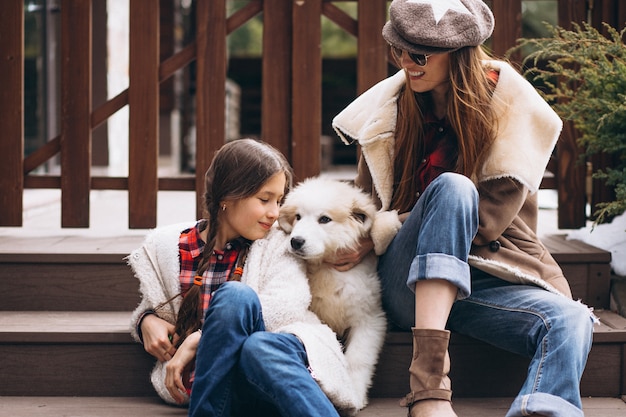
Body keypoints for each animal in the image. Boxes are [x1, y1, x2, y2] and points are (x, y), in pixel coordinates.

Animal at [276, 178, 386, 404]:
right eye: (298, 217)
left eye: (324, 219)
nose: (296, 241)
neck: (326, 267)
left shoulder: (369, 318)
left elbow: (357, 358)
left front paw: (355, 394)